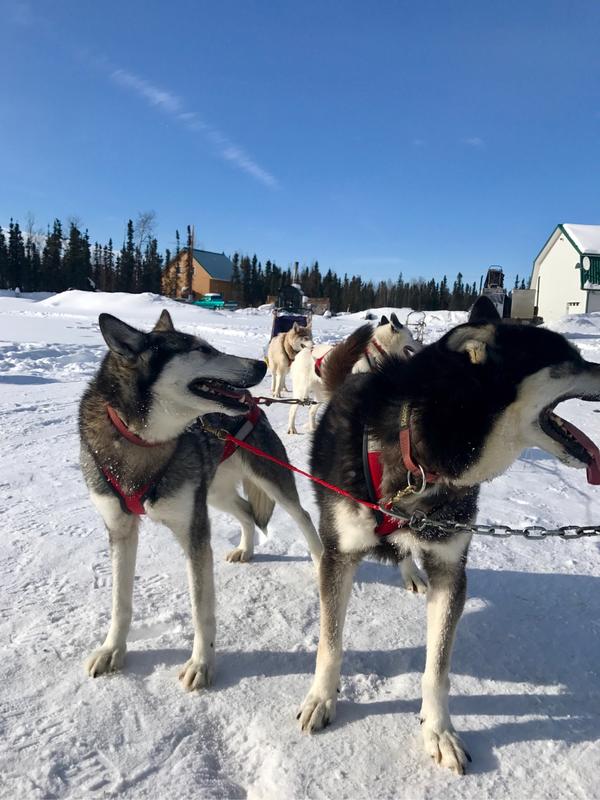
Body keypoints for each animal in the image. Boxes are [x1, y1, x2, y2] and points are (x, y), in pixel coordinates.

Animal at [82, 310, 324, 692]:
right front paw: (112, 650)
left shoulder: (193, 532)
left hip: (270, 479)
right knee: (246, 512)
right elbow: (120, 602)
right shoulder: (120, 530)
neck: (142, 441)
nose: (260, 364)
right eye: (202, 350)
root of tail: (256, 406)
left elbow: (201, 608)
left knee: (302, 516)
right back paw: (246, 548)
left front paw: (201, 663)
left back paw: (318, 560)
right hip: (213, 493)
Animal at [288, 314, 420, 438]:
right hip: (302, 392)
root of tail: (303, 352)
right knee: (292, 410)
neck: (374, 352)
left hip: (321, 394)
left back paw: (313, 428)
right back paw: (292, 428)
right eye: (411, 336)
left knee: (311, 410)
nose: (421, 345)